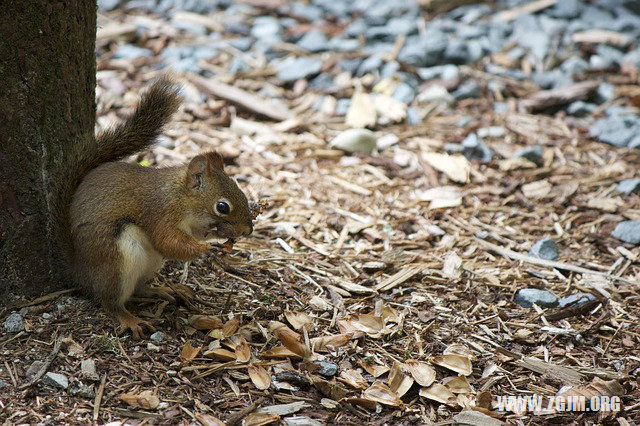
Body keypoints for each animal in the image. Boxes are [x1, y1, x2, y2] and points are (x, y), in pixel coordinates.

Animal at [57, 75, 252, 336]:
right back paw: (129, 319)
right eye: (222, 206)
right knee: (109, 301)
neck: (180, 195)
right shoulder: (160, 211)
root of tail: (81, 271)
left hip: (150, 262)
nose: (248, 230)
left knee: (139, 288)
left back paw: (166, 290)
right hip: (117, 260)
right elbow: (166, 240)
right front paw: (205, 250)